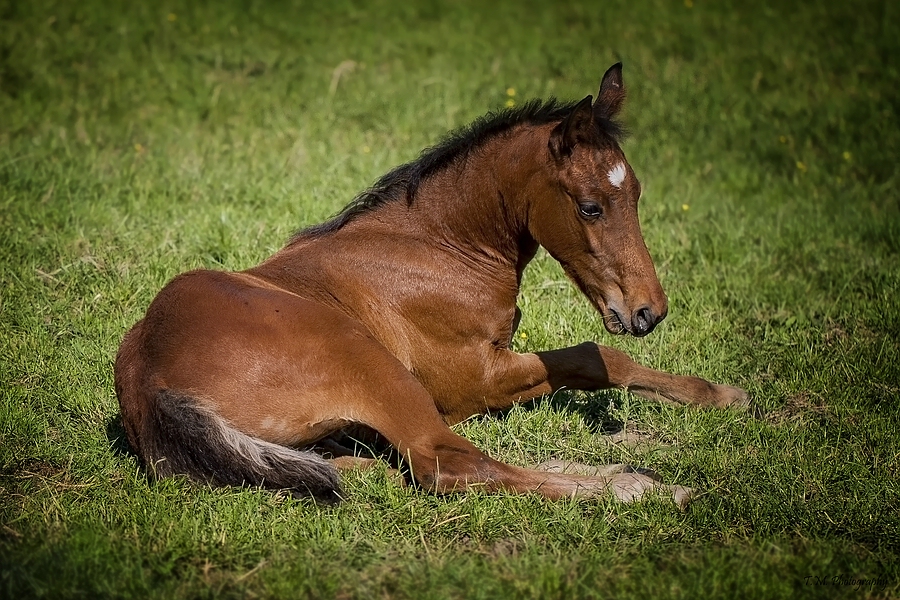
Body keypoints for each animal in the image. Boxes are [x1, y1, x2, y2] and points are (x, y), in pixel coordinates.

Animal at [114, 64, 744, 506]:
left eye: (635, 193)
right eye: (590, 207)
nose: (648, 312)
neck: (436, 246)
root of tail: (149, 378)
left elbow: (607, 360)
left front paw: (719, 395)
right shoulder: (472, 382)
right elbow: (595, 357)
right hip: (373, 363)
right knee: (452, 466)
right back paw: (639, 488)